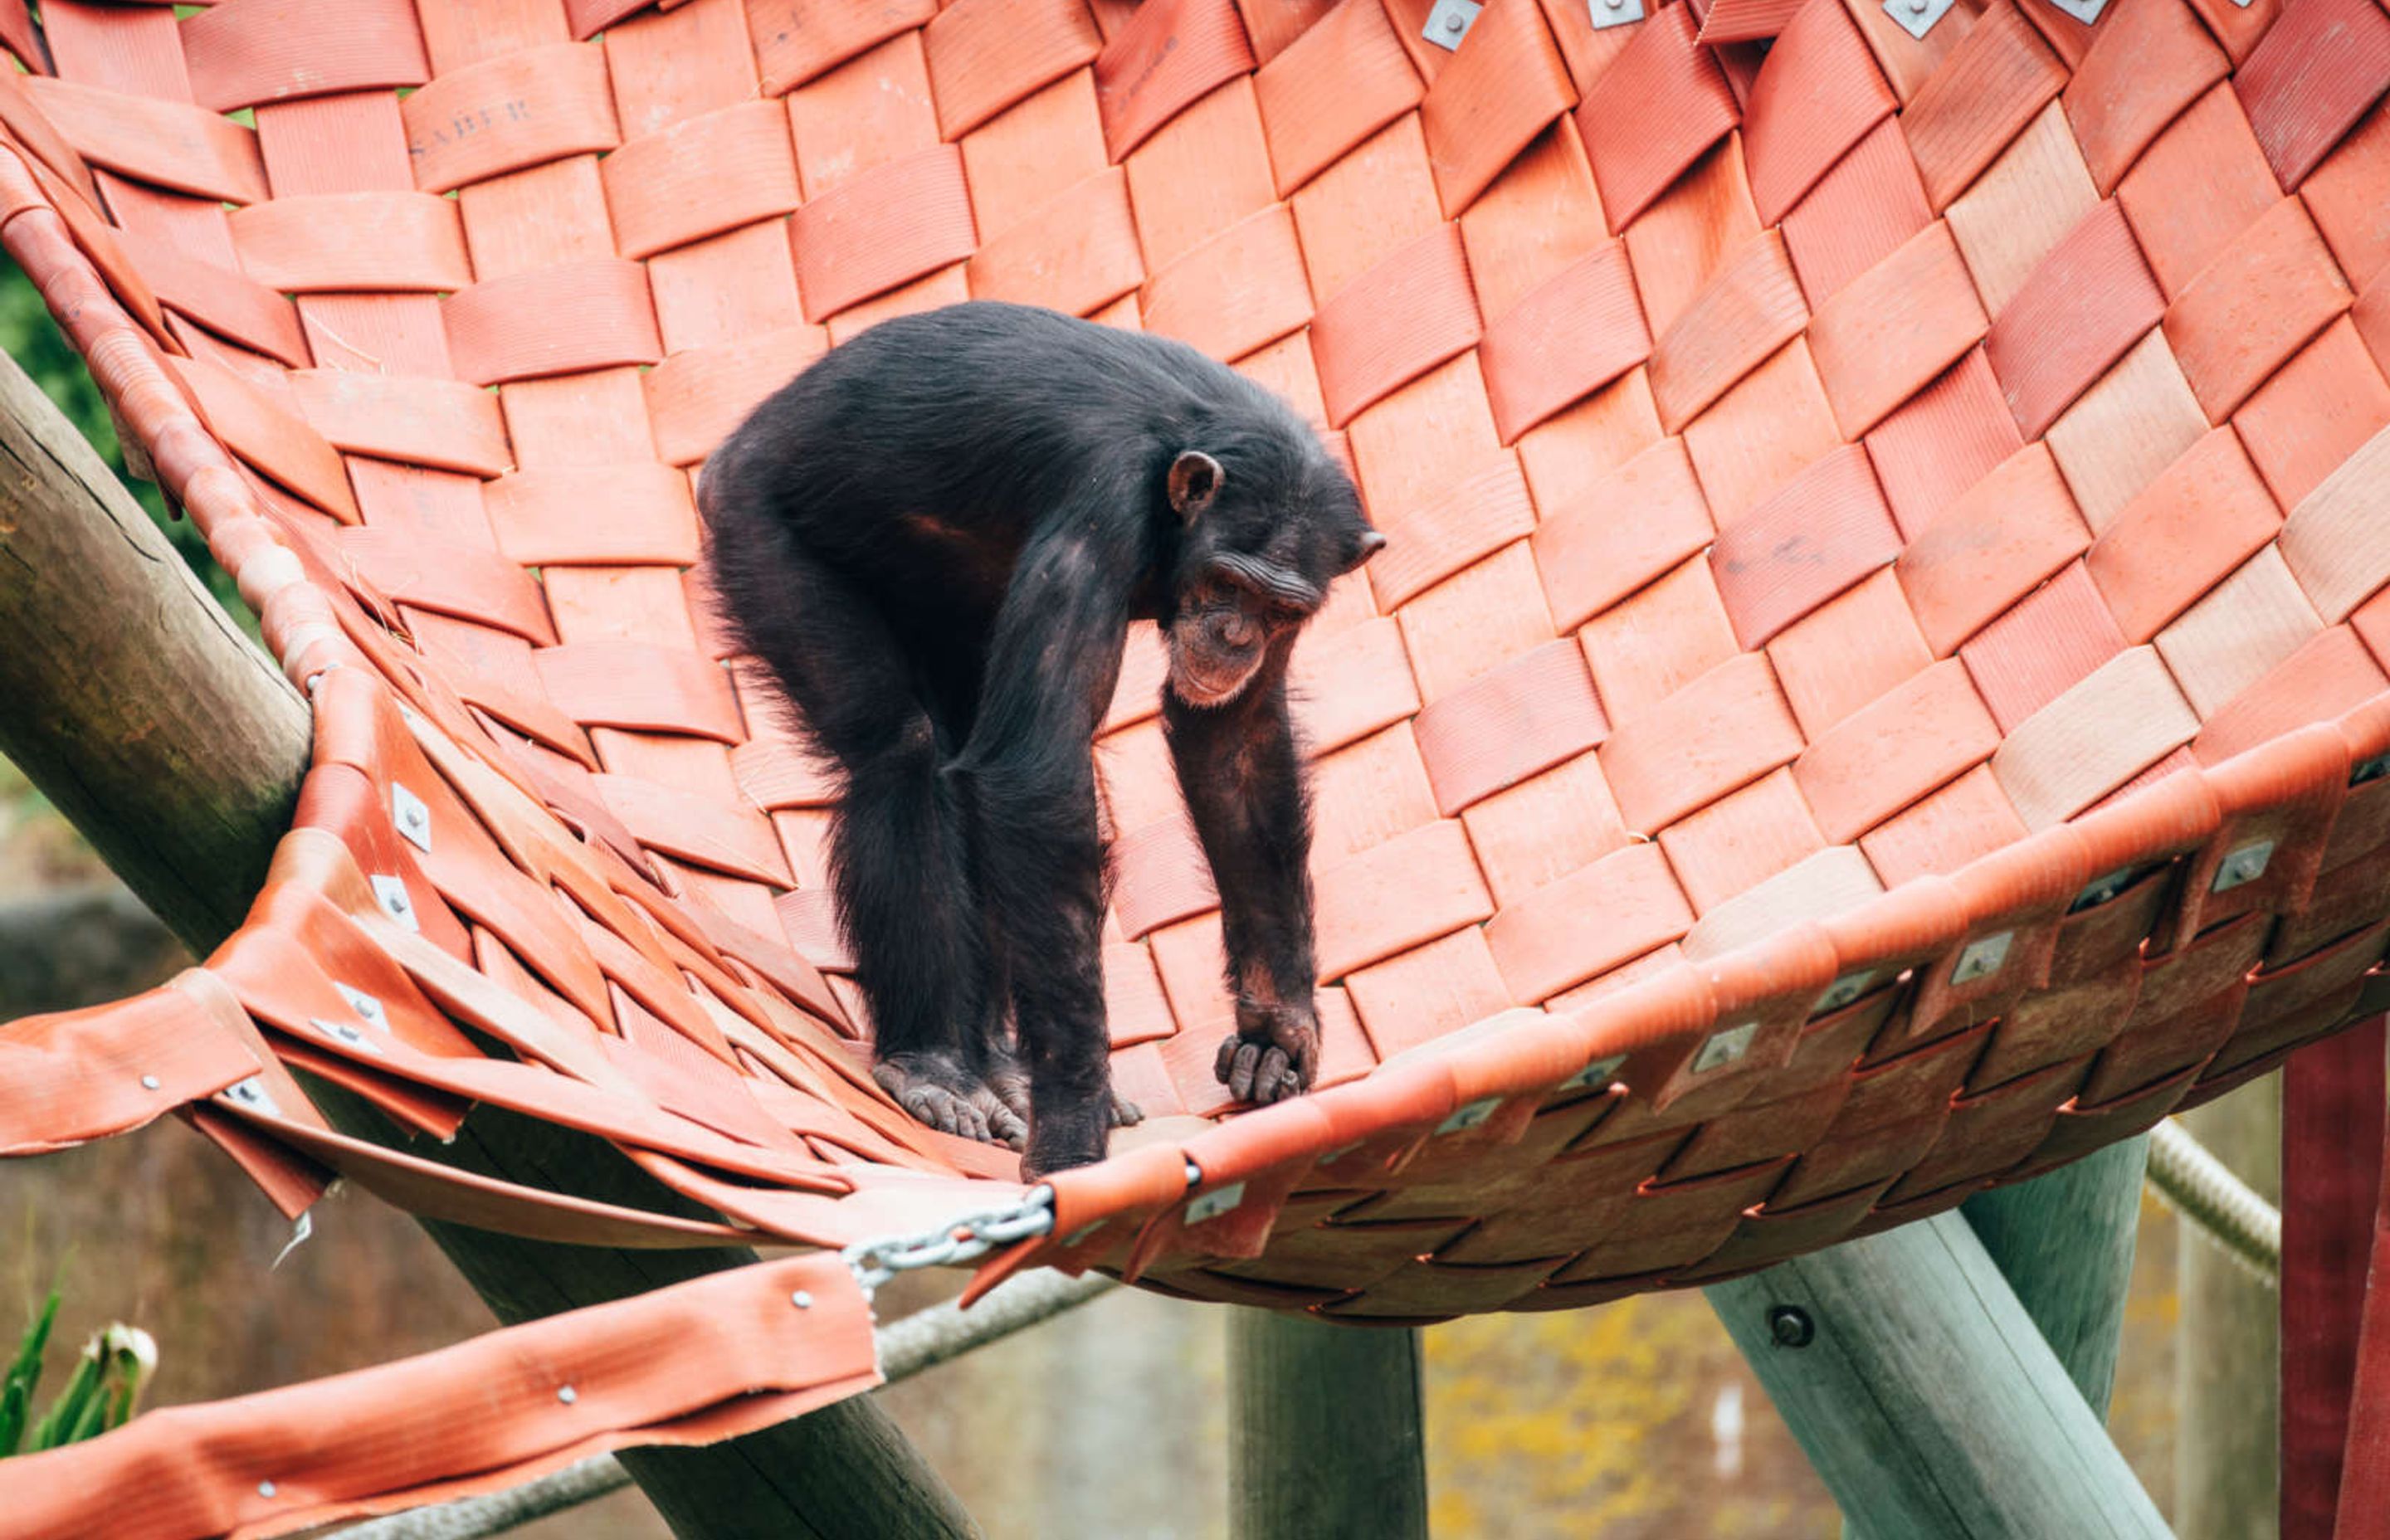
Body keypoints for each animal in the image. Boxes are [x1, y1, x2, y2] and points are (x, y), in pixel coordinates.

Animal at [697, 301, 1395, 1172]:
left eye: (1279, 609)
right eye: (1226, 582)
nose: (1236, 636)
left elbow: (1234, 743)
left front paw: (1277, 1026)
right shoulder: (1099, 511)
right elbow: (1032, 776)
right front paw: (1071, 1122)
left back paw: (999, 1065)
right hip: (755, 525)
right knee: (906, 755)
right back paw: (936, 1064)